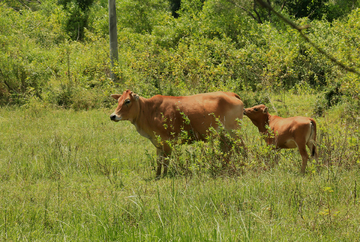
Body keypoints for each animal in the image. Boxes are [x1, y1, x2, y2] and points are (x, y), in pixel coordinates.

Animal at [109, 90, 245, 177]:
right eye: (118, 100)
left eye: (127, 101)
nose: (113, 116)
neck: (149, 111)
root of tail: (230, 93)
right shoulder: (158, 143)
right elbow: (159, 161)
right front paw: (157, 176)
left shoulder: (167, 142)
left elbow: (166, 161)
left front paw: (165, 175)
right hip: (224, 134)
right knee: (228, 150)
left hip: (234, 131)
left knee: (242, 149)